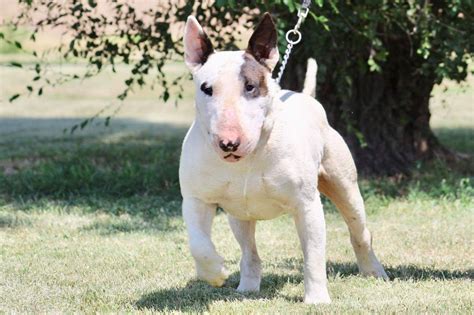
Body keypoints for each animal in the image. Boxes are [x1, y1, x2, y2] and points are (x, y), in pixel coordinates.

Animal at [180, 13, 386, 304]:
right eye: (206, 89)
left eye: (251, 87)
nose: (228, 143)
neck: (247, 159)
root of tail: (304, 96)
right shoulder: (196, 199)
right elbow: (197, 242)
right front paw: (215, 272)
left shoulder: (306, 205)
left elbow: (313, 255)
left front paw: (317, 299)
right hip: (238, 216)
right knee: (249, 251)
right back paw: (247, 286)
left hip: (345, 187)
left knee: (360, 230)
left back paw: (373, 270)